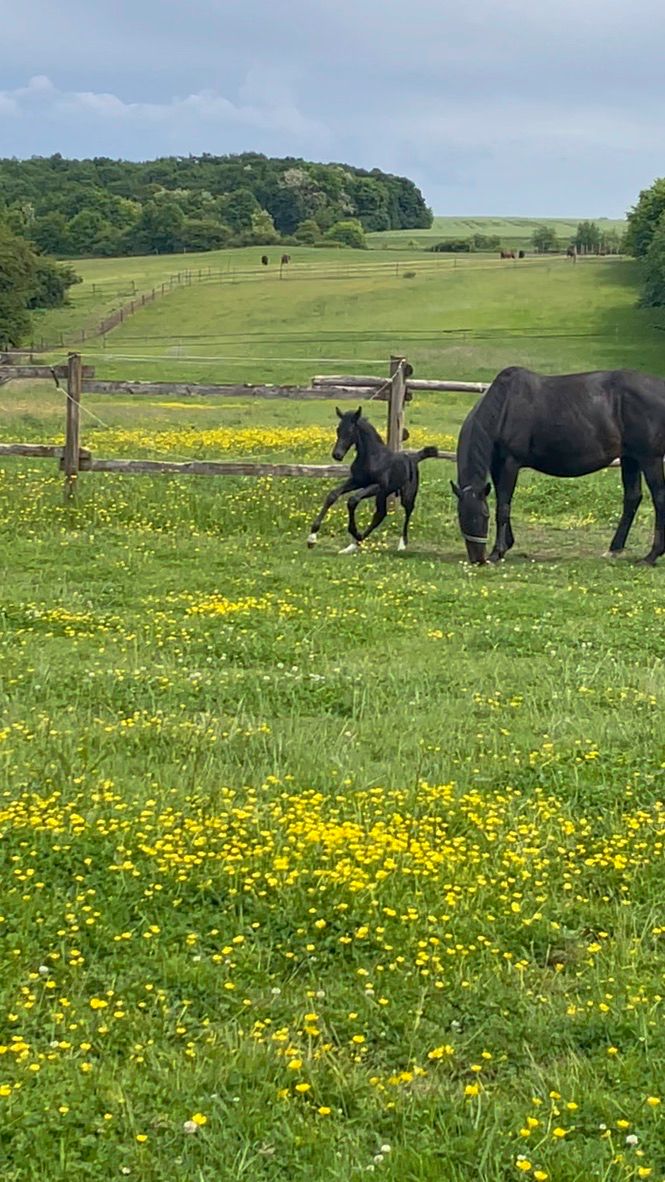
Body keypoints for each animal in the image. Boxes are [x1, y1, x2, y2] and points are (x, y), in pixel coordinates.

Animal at [307, 407, 438, 553]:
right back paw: (354, 545)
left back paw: (401, 544)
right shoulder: (356, 481)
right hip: (383, 494)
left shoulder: (377, 486)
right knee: (380, 515)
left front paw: (354, 531)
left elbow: (353, 500)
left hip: (405, 495)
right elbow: (333, 495)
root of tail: (414, 458)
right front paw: (312, 538)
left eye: (350, 431)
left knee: (407, 511)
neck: (373, 457)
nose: (337, 455)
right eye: (338, 429)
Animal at [452, 366, 665, 566]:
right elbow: (503, 503)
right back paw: (614, 549)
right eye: (460, 516)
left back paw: (651, 556)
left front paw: (497, 553)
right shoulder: (497, 465)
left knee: (659, 499)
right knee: (632, 498)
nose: (477, 559)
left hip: (650, 459)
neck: (504, 406)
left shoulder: (510, 463)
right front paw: (507, 544)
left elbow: (503, 508)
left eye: (484, 515)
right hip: (630, 458)